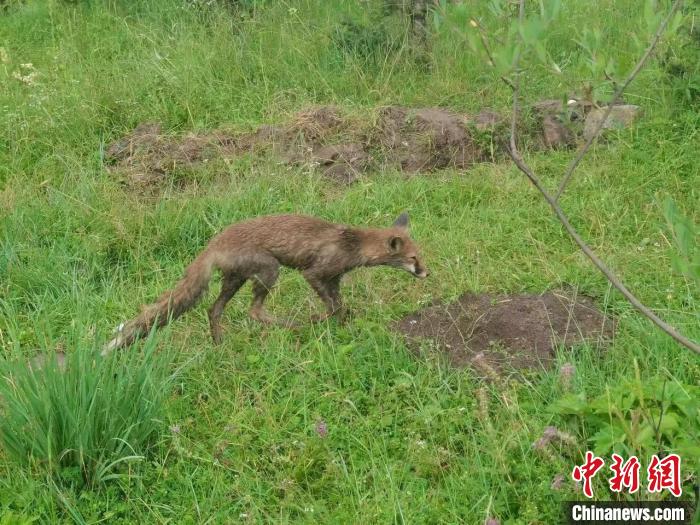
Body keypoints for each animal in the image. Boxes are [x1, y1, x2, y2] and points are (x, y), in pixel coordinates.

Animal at [104, 211, 426, 354]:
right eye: (413, 258)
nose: (426, 273)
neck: (353, 244)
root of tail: (213, 243)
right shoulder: (315, 273)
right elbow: (333, 309)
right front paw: (318, 322)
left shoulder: (333, 280)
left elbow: (341, 308)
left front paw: (342, 327)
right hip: (270, 270)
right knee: (254, 311)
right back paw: (292, 326)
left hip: (235, 280)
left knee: (214, 309)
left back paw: (219, 344)